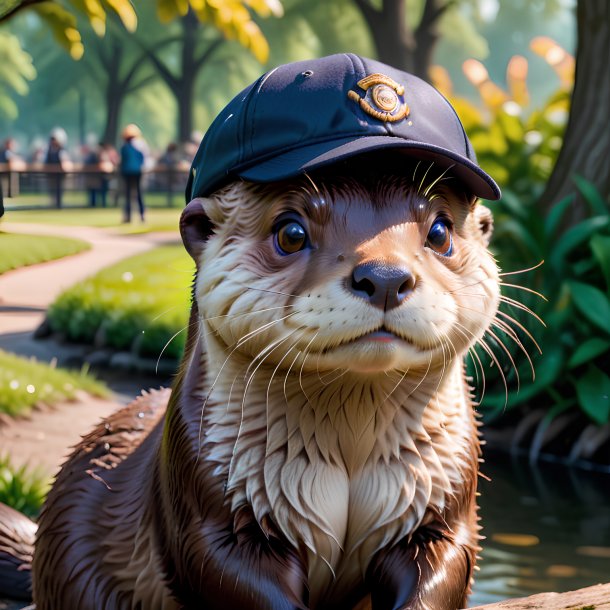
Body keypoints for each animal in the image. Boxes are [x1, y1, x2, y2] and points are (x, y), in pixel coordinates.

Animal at [0, 54, 498, 604]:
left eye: (440, 231)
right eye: (291, 231)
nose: (386, 276)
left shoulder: (442, 499)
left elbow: (443, 566)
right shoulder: (209, 499)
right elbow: (224, 572)